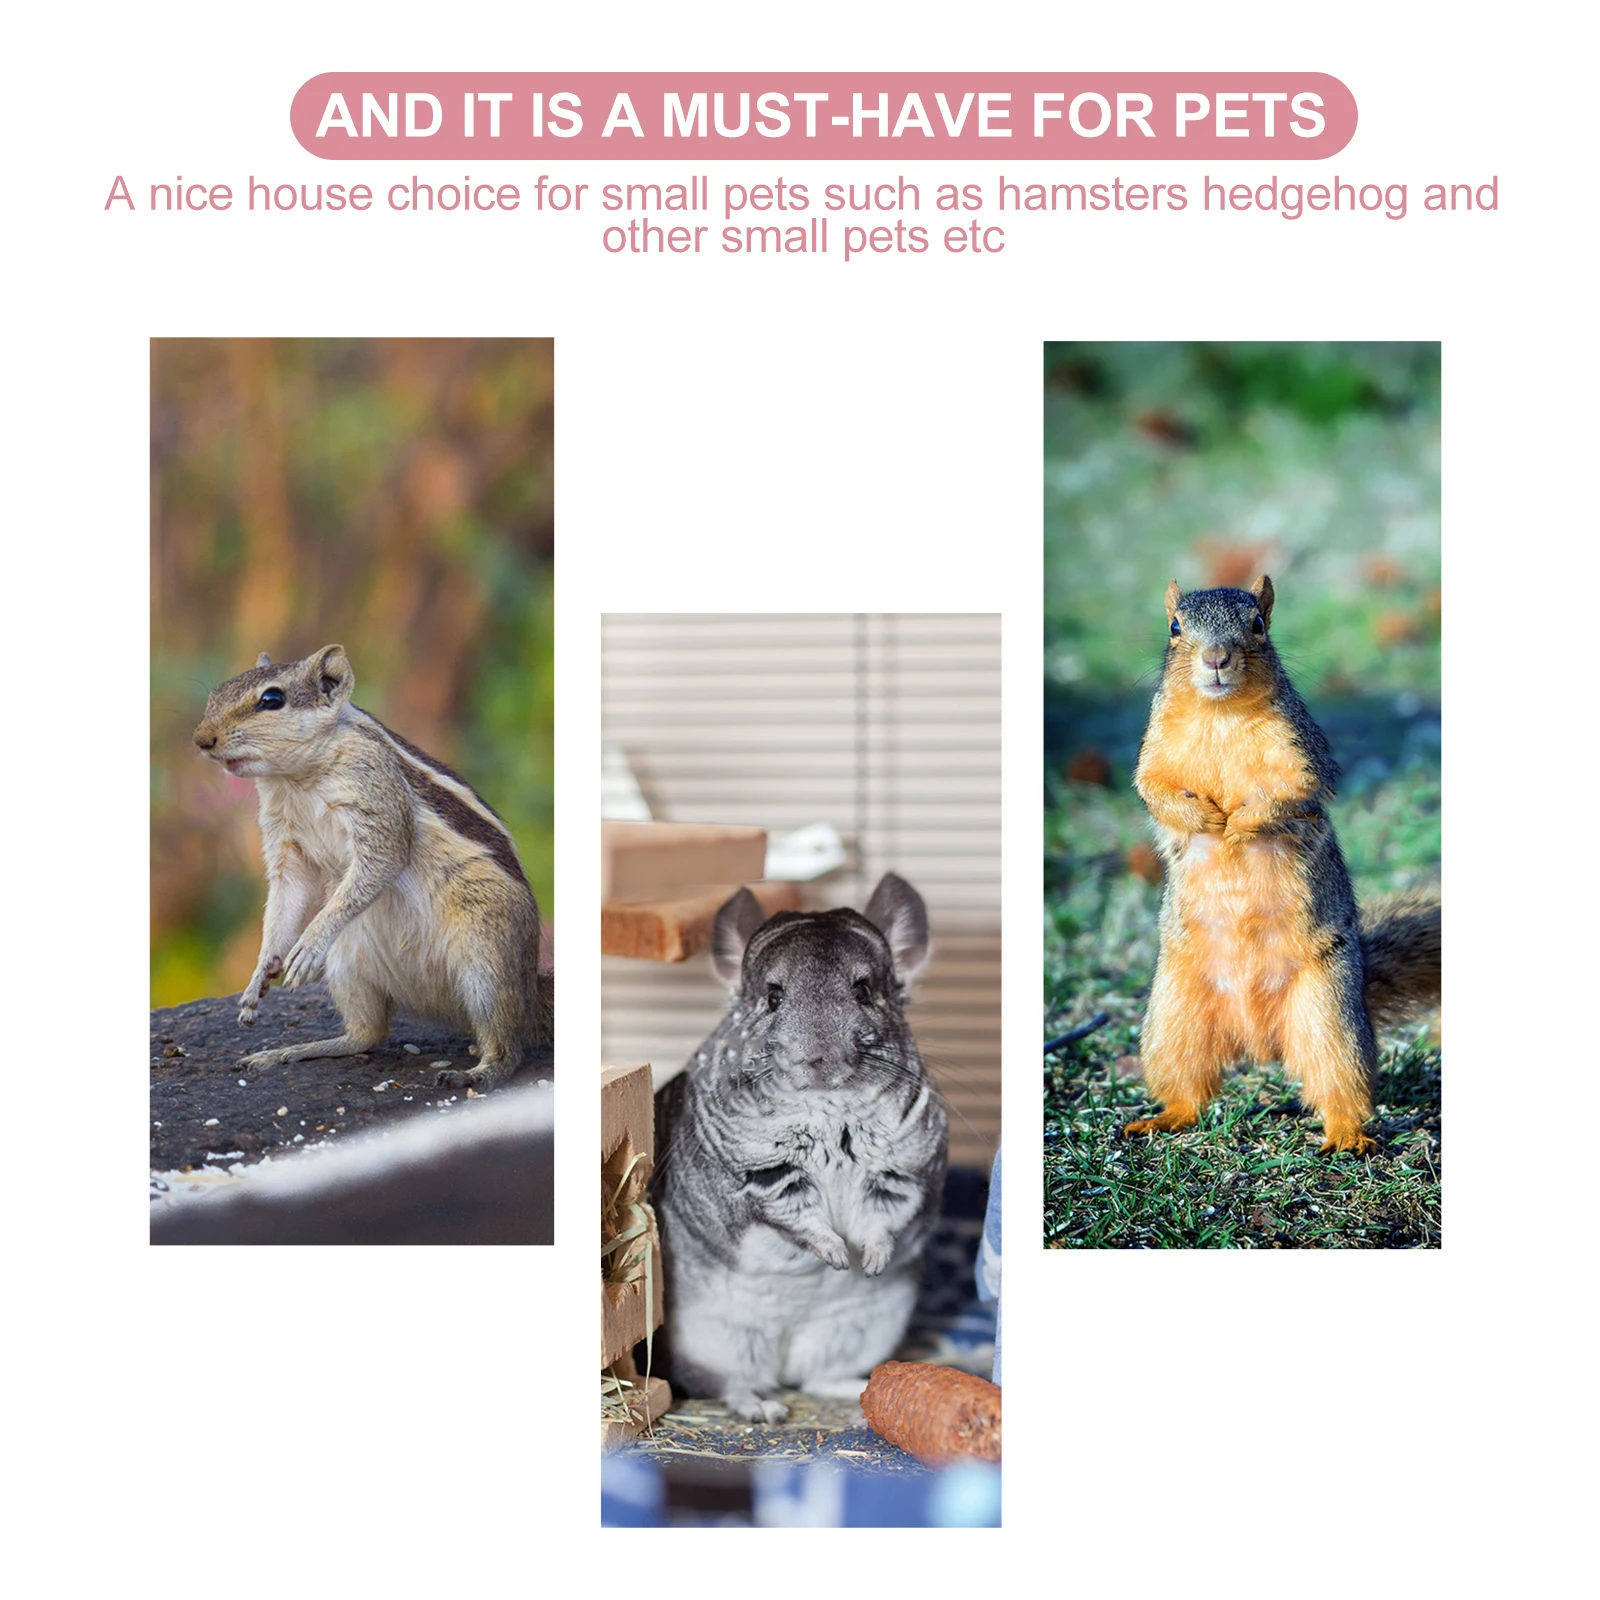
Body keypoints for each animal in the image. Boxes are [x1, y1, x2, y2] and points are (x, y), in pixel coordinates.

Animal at [650, 873, 948, 1423]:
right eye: (773, 997)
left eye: (863, 989)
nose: (820, 1060)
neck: (828, 1108)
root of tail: (783, 1359)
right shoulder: (758, 1179)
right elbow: (797, 1217)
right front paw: (836, 1257)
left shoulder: (903, 1171)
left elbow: (884, 1217)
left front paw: (868, 1262)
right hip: (711, 1339)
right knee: (728, 1384)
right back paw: (762, 1409)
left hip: (863, 1329)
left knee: (816, 1378)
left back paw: (856, 1391)